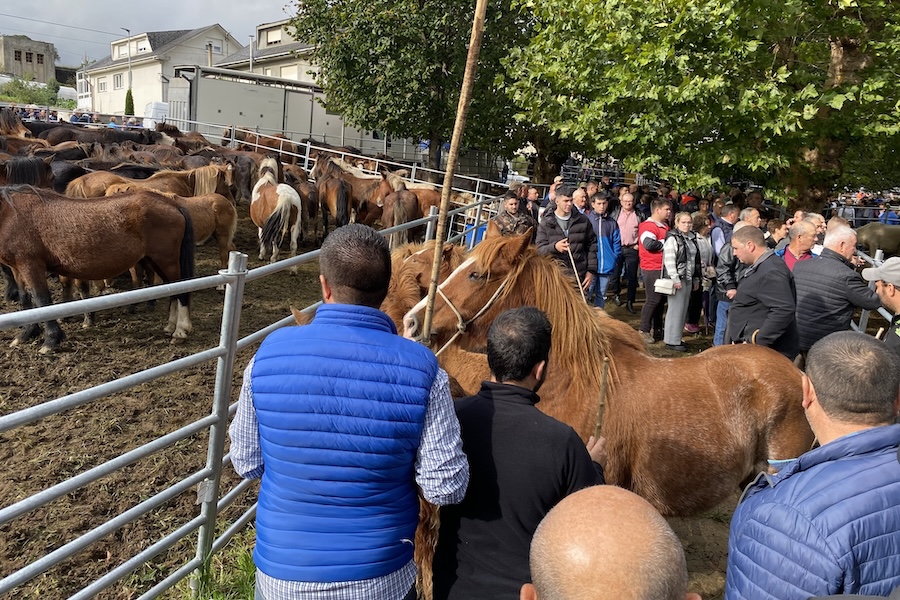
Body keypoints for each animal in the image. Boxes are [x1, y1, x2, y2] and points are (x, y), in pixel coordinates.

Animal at [0, 186, 195, 352]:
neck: (10, 214)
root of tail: (173, 205)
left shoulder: (31, 265)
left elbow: (42, 300)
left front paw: (51, 340)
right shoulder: (17, 267)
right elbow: (25, 299)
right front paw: (26, 334)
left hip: (167, 261)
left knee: (182, 291)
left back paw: (180, 332)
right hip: (156, 261)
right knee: (172, 291)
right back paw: (170, 327)